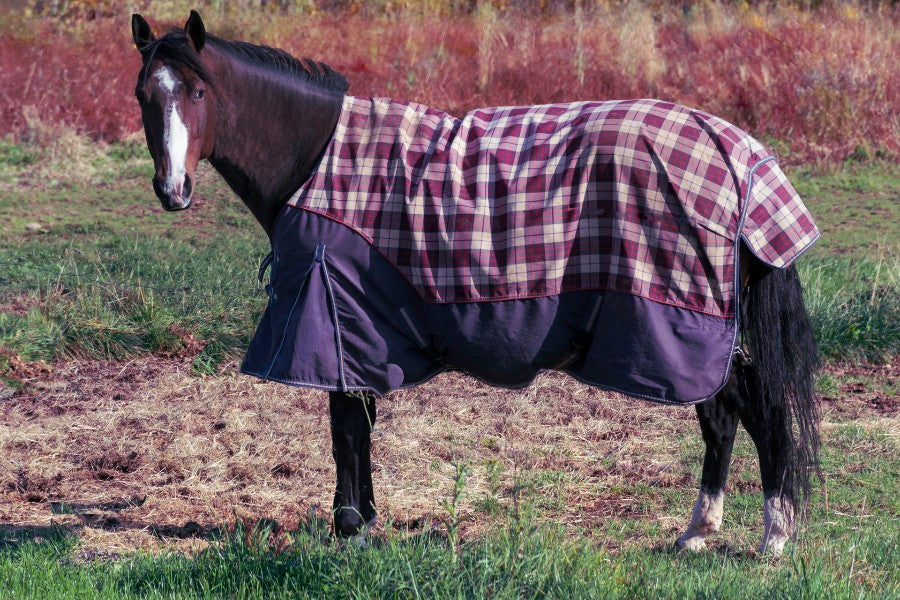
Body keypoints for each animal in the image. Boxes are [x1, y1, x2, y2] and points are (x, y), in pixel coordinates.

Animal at [131, 11, 821, 556]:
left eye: (198, 91)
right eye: (143, 95)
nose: (172, 191)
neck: (318, 160)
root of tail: (737, 153)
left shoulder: (334, 319)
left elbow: (346, 429)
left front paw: (349, 529)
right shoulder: (353, 331)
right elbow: (358, 426)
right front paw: (364, 521)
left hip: (697, 324)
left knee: (758, 413)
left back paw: (774, 538)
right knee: (723, 419)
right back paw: (699, 532)